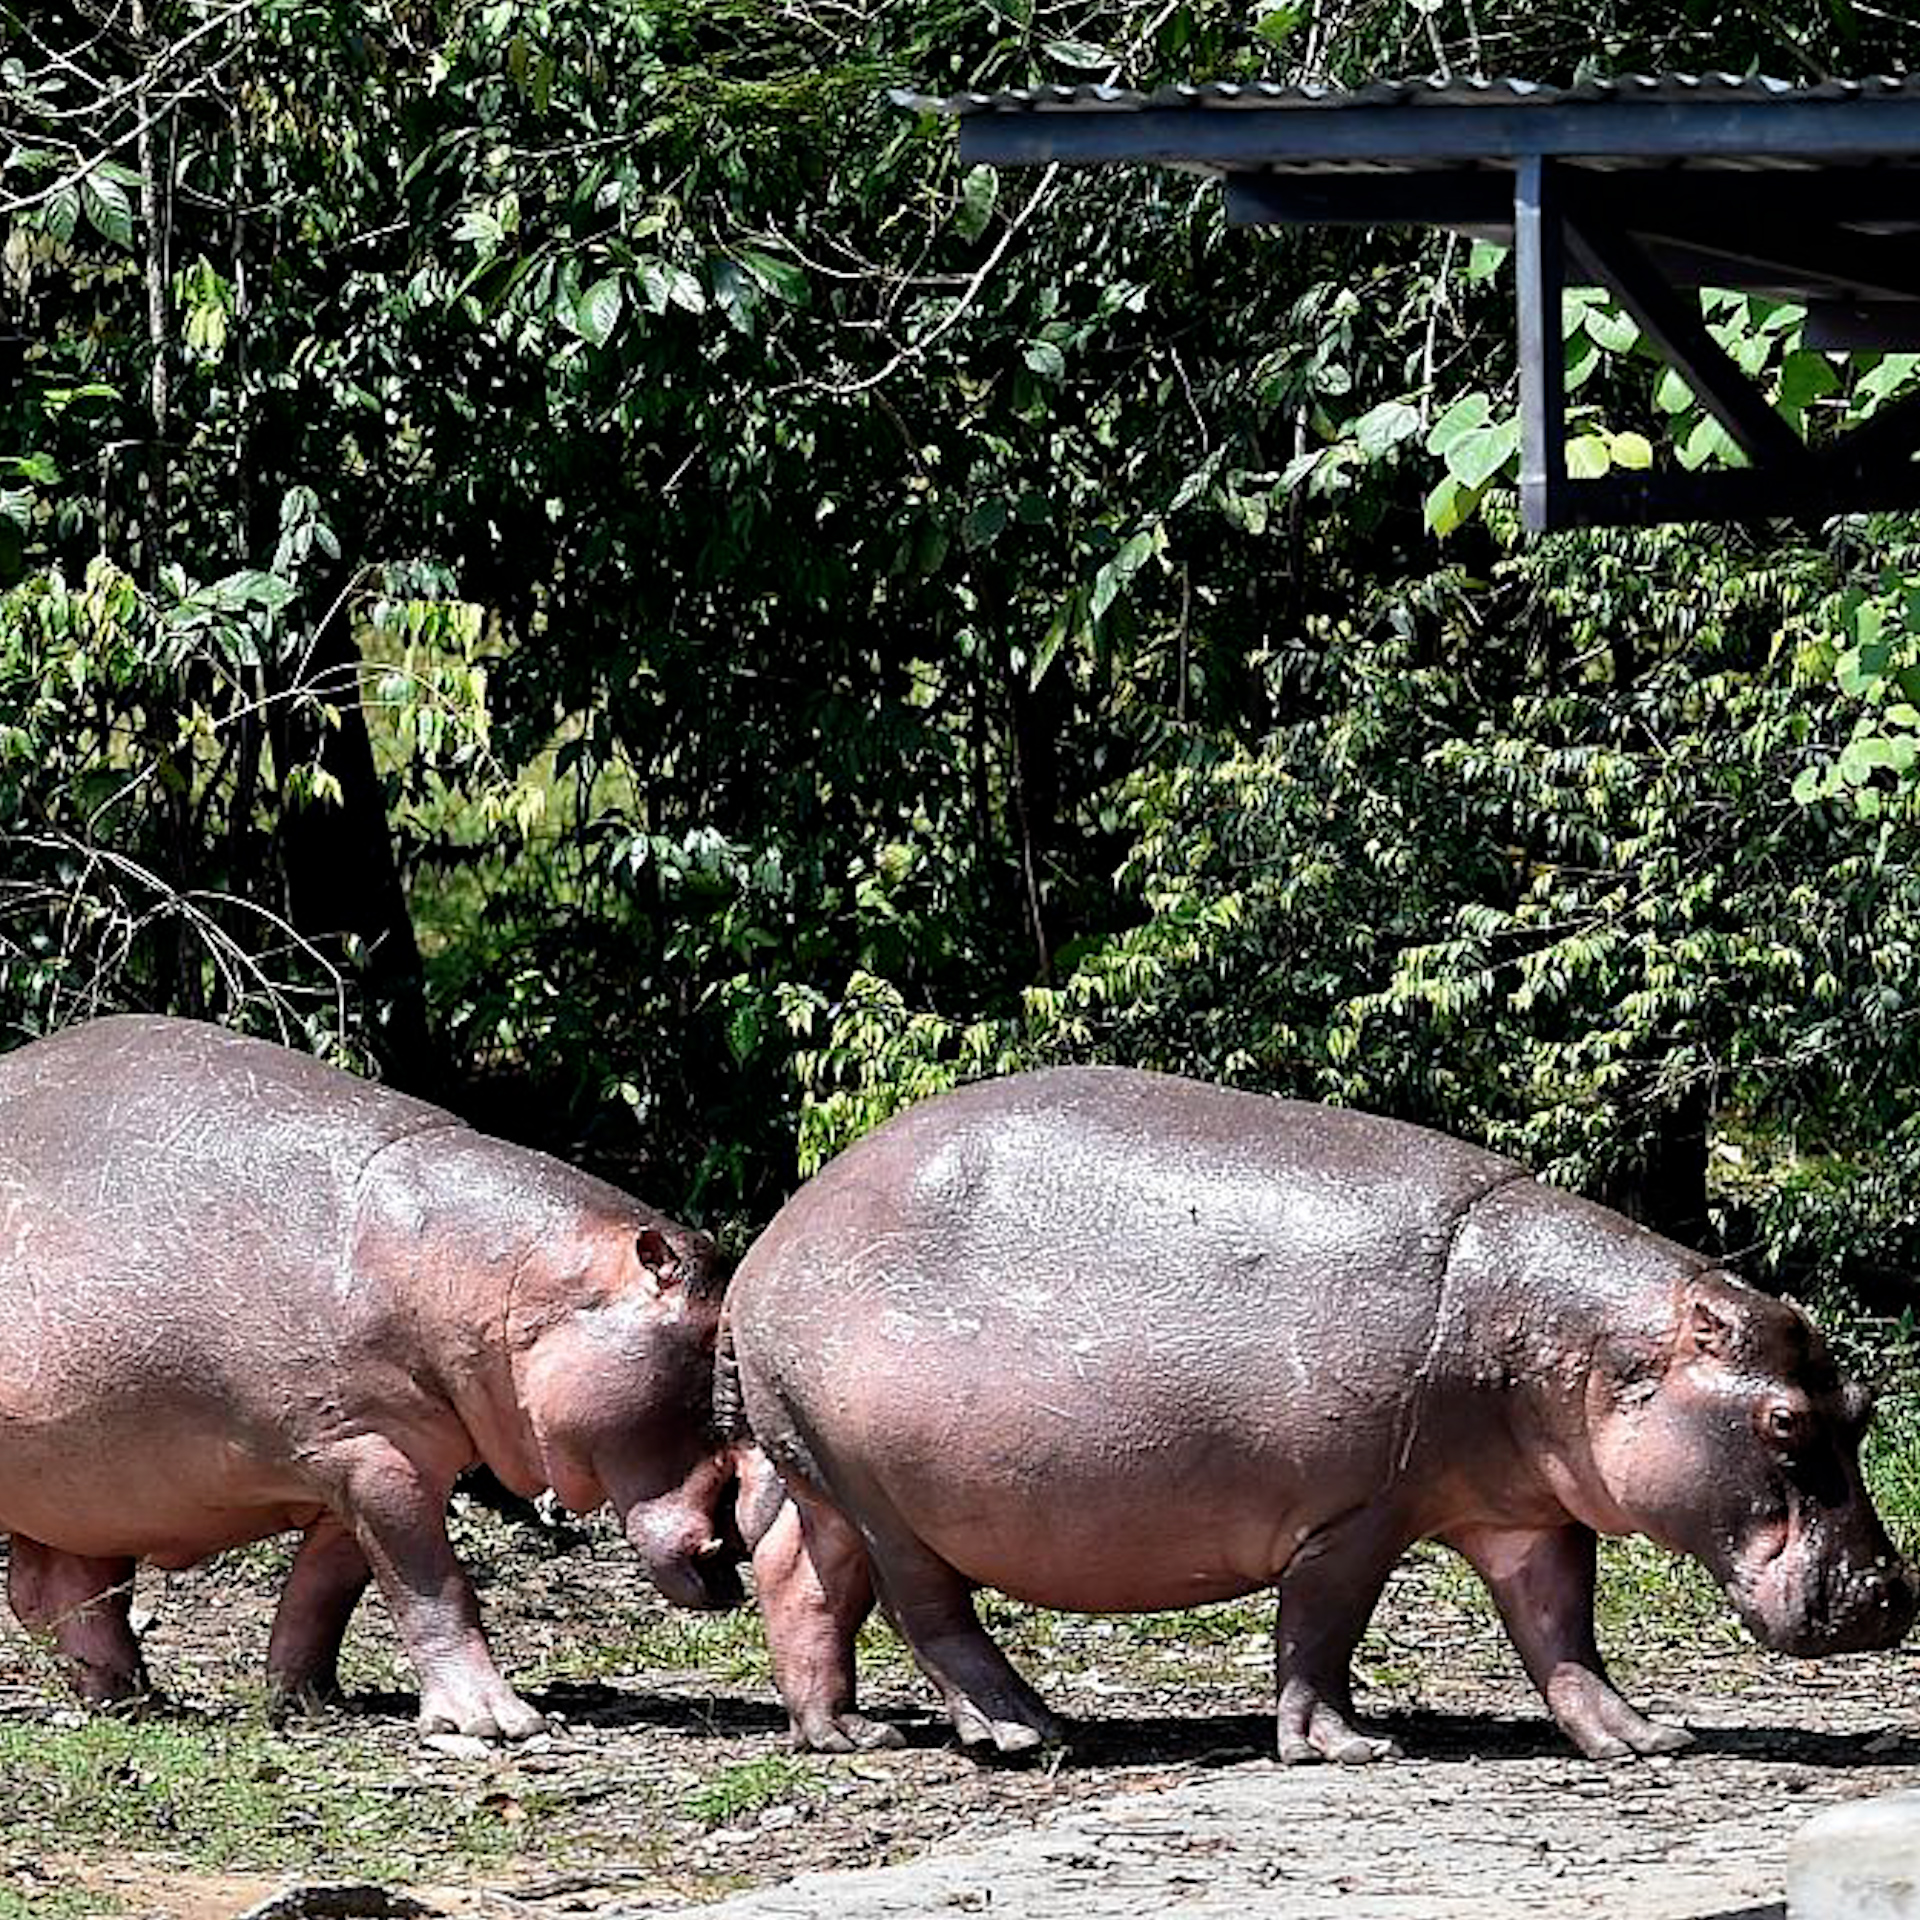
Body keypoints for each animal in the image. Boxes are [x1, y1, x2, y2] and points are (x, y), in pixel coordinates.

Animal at [0, 1021, 737, 1743]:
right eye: (710, 1343)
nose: (738, 1539)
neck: (492, 1275)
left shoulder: (377, 1464)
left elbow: (324, 1594)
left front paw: (309, 1702)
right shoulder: (370, 1452)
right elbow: (436, 1586)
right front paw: (495, 1723)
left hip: (83, 1494)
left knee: (63, 1591)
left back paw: (133, 1703)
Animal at [721, 1075, 1920, 1758]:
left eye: (1862, 1405)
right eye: (1782, 1423)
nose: (1891, 1595)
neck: (1578, 1337)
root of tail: (773, 1239)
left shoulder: (1530, 1516)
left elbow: (1562, 1633)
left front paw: (1644, 1740)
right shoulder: (1356, 1514)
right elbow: (1320, 1630)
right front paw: (1346, 1749)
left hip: (819, 1471)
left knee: (801, 1579)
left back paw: (847, 1735)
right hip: (884, 1493)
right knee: (927, 1611)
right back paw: (1026, 1730)